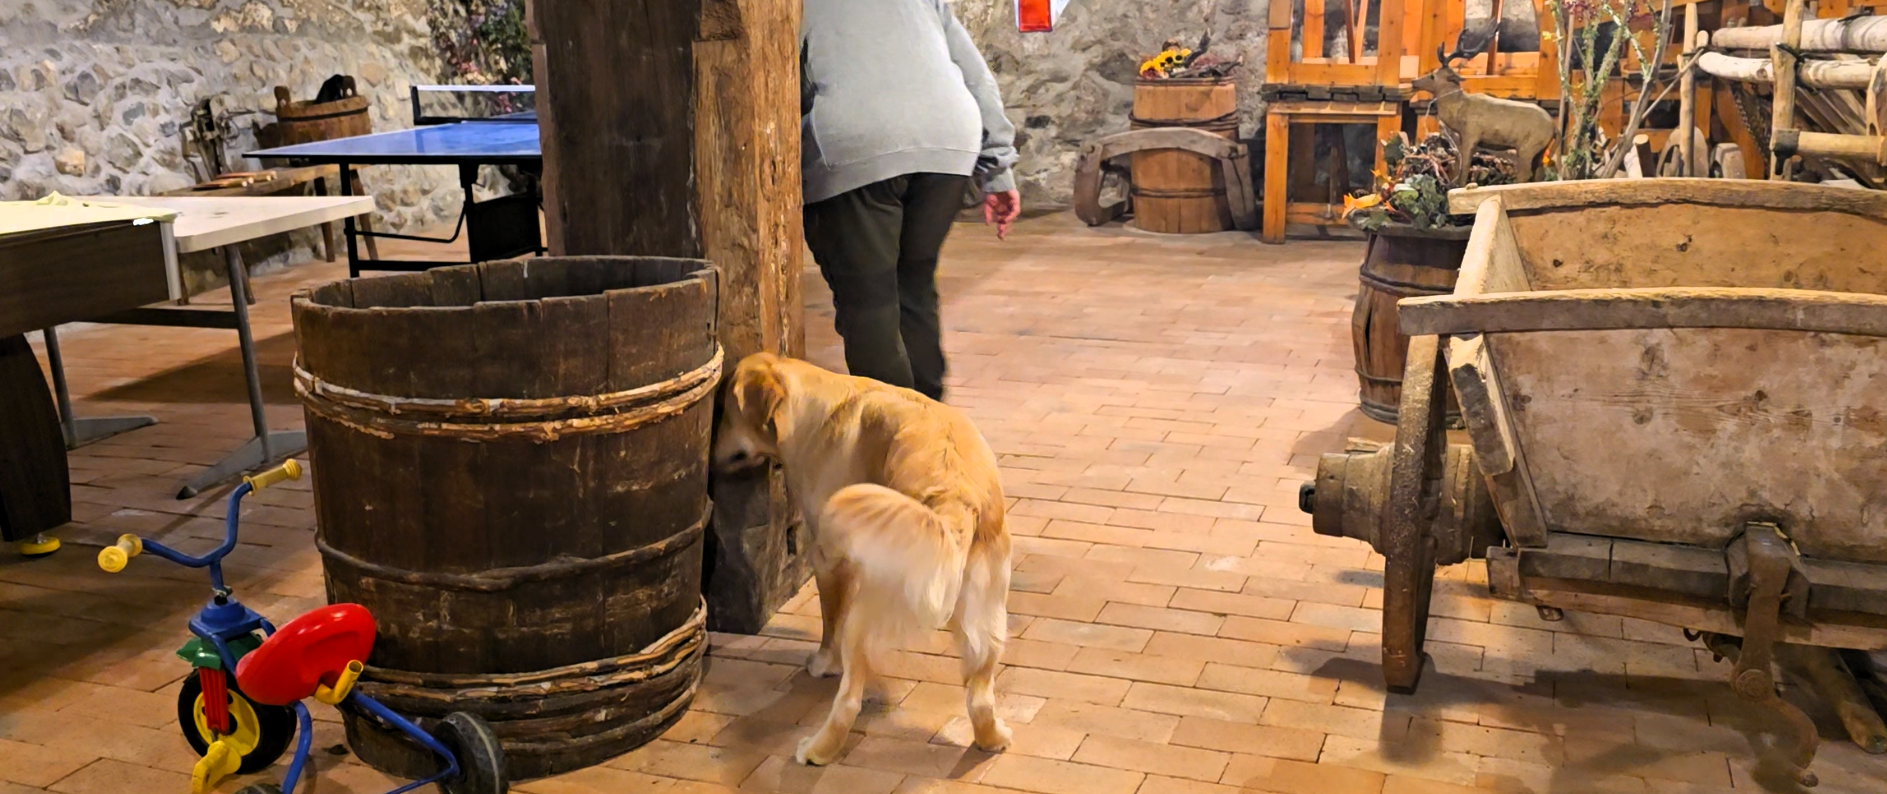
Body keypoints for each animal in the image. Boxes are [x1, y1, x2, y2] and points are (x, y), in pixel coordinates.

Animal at [712, 353, 1014, 766]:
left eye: (725, 412)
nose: (710, 458)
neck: (812, 410)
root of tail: (957, 502)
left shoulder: (826, 559)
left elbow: (829, 625)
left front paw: (822, 664)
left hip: (866, 618)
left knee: (849, 701)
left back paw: (815, 750)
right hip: (985, 622)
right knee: (980, 699)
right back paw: (992, 739)